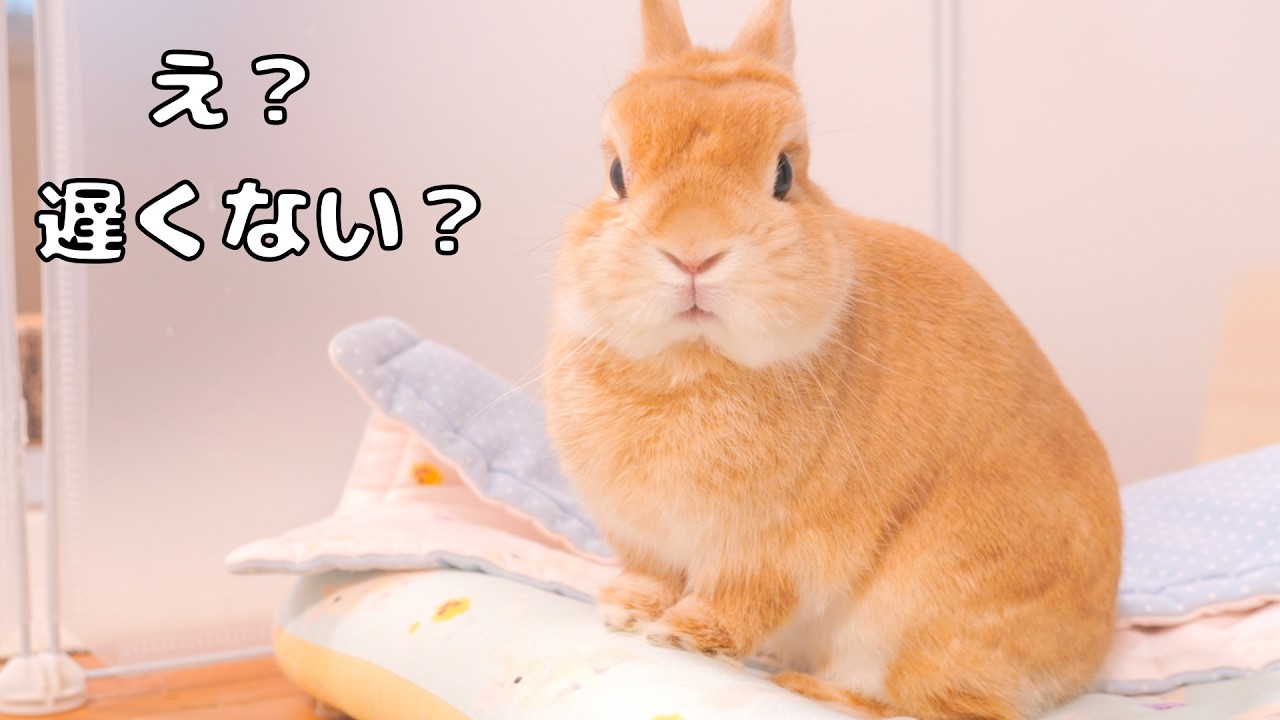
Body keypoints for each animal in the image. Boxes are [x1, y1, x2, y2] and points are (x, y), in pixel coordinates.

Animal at [542, 1, 1123, 718]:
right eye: (617, 175)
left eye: (785, 175)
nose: (694, 249)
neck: (690, 362)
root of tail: (1091, 652)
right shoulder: (644, 540)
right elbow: (652, 576)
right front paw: (626, 612)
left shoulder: (774, 551)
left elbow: (741, 600)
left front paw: (684, 637)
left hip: (932, 615)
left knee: (941, 706)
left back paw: (806, 687)